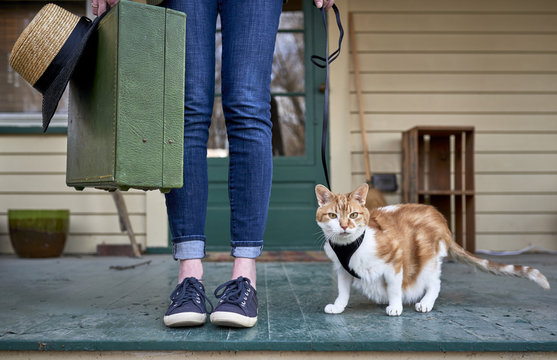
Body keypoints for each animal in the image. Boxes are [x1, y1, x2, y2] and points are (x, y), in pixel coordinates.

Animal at [314, 184, 548, 316]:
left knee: (435, 283)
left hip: (426, 257)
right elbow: (343, 291)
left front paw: (395, 306)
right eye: (333, 216)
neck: (349, 246)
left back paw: (425, 302)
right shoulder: (342, 270)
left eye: (353, 215)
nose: (344, 226)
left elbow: (394, 287)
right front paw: (339, 306)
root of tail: (438, 217)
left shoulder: (395, 259)